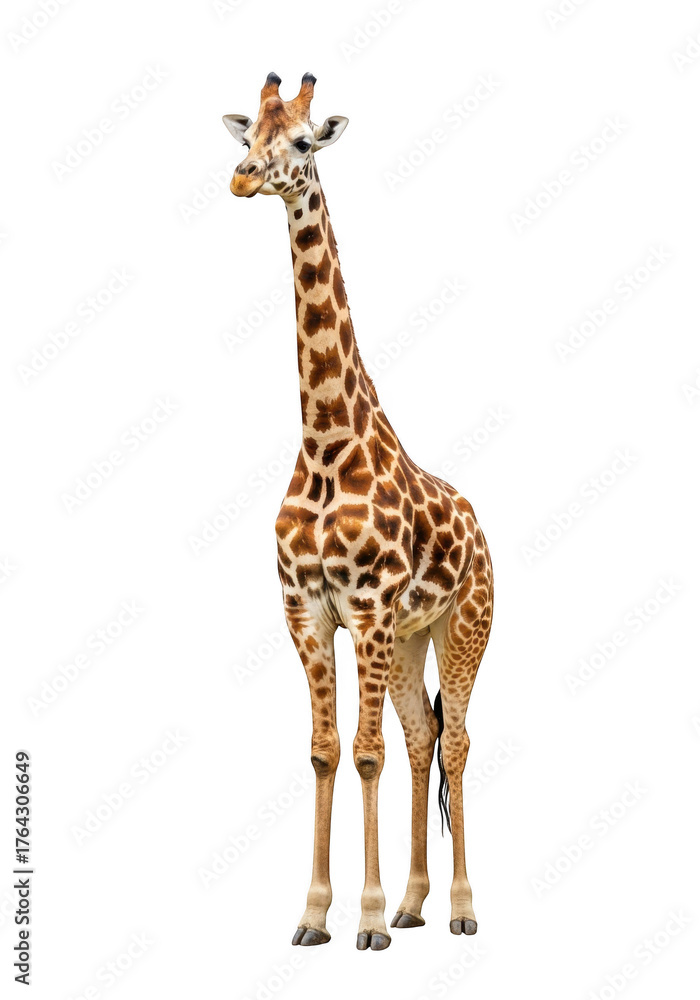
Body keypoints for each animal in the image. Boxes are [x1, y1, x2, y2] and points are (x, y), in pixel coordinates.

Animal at [223, 72, 493, 951]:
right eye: (248, 133)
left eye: (304, 141)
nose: (242, 177)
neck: (325, 444)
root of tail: (480, 525)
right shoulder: (307, 609)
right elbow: (325, 751)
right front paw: (315, 916)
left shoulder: (367, 609)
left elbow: (365, 751)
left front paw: (365, 921)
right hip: (409, 641)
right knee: (422, 738)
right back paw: (414, 904)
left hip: (463, 627)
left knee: (457, 742)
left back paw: (459, 910)